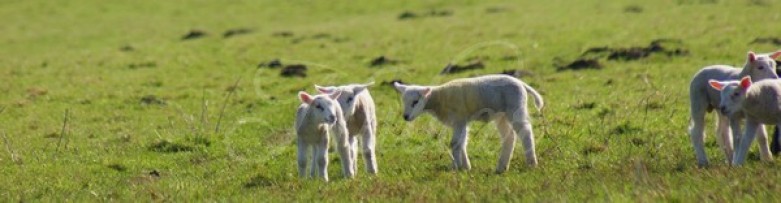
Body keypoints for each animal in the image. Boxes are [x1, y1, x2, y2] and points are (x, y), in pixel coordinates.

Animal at [390, 74, 544, 173]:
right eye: (404, 101)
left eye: (415, 102)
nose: (406, 117)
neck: (439, 99)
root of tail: (522, 84)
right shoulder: (461, 121)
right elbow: (461, 142)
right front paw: (465, 167)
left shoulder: (459, 119)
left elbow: (455, 143)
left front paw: (456, 167)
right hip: (501, 115)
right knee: (509, 136)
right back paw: (501, 167)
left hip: (515, 107)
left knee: (525, 133)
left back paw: (532, 163)